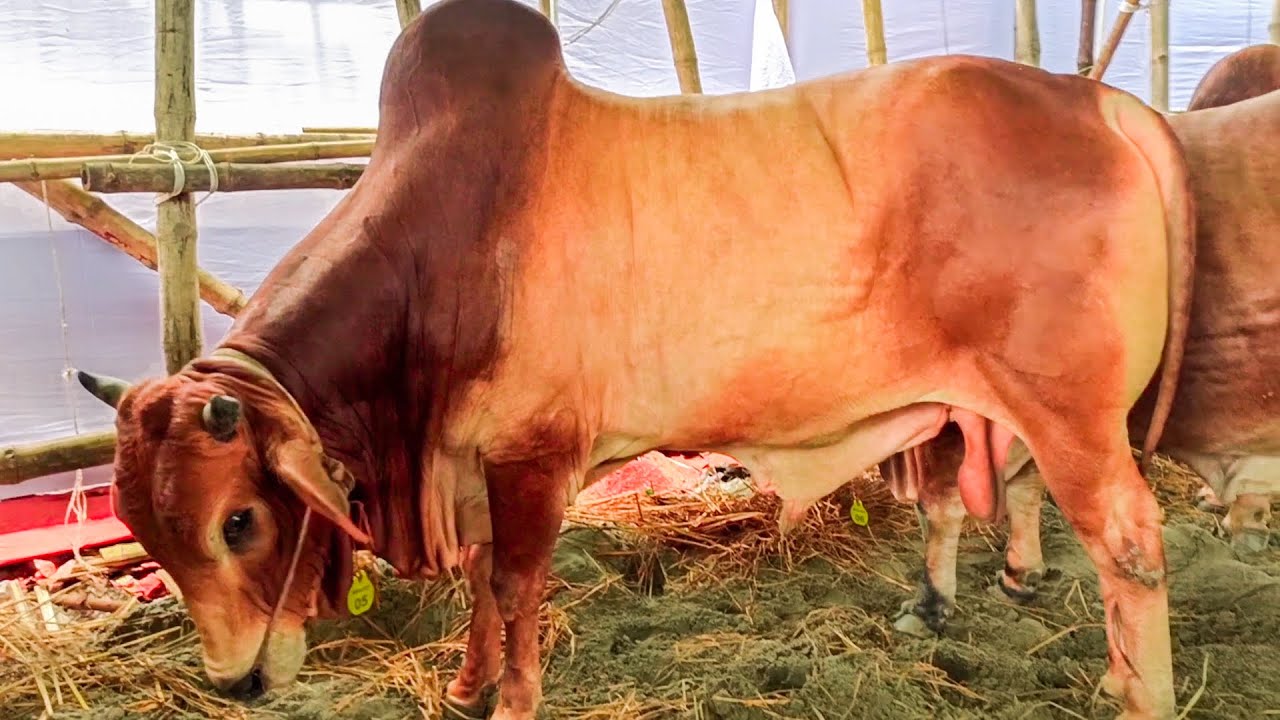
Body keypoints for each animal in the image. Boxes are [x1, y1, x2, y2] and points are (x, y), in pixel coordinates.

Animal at [71, 0, 1195, 718]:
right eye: (144, 530)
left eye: (240, 520)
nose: (236, 683)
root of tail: (1094, 103)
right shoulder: (471, 464)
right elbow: (479, 587)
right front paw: (466, 687)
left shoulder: (530, 457)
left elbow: (515, 585)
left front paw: (511, 702)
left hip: (1071, 414)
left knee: (1130, 544)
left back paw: (1133, 692)